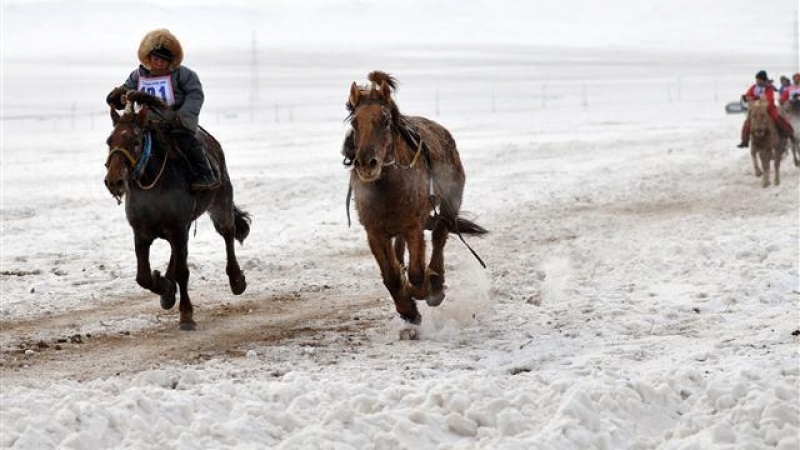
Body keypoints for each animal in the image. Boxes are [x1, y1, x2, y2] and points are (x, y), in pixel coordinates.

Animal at [104, 90, 250, 330]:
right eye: (109, 141)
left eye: (136, 141)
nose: (114, 181)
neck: (153, 185)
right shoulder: (142, 232)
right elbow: (143, 276)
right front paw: (164, 286)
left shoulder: (178, 228)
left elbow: (183, 271)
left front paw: (186, 314)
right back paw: (168, 290)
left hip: (220, 203)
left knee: (227, 234)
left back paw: (236, 280)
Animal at [346, 70, 488, 326]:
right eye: (354, 122)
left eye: (385, 121)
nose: (366, 164)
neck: (388, 188)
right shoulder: (374, 231)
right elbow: (392, 277)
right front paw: (408, 309)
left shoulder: (414, 226)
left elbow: (417, 274)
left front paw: (424, 290)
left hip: (450, 205)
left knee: (440, 236)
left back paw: (436, 285)